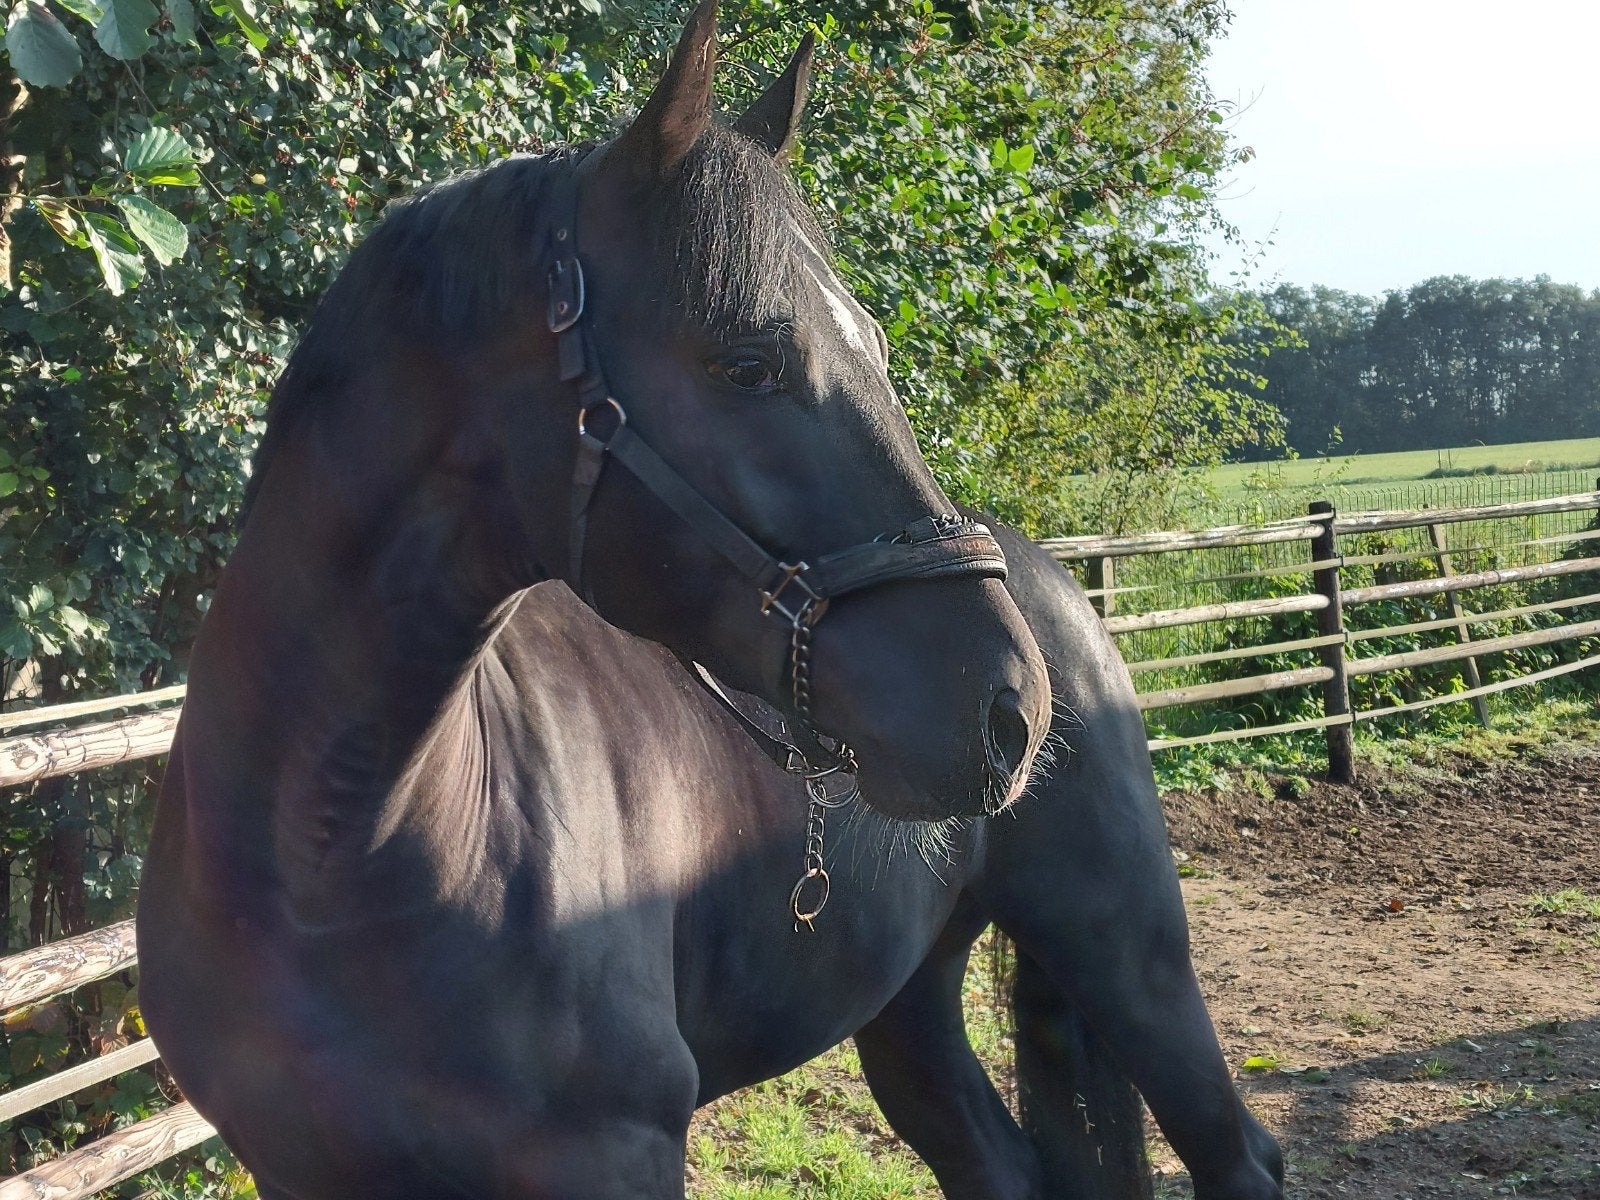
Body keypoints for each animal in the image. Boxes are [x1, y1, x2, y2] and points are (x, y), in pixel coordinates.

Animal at [137, 4, 1284, 1197]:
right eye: (747, 363)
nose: (1011, 705)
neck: (335, 851)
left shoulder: (616, 1155)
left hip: (1128, 954)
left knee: (1240, 1154)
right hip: (911, 999)